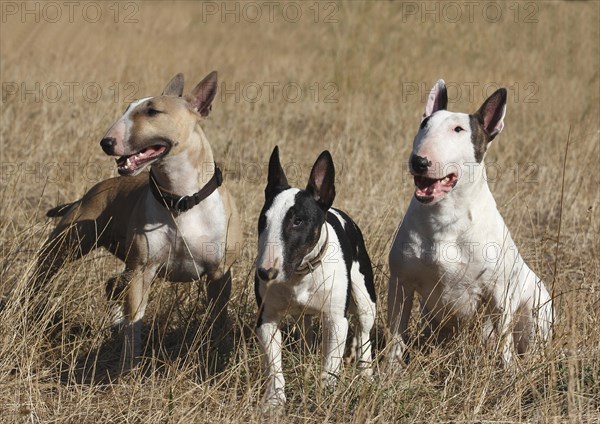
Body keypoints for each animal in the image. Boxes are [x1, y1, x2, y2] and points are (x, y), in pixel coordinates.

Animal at [34, 72, 241, 372]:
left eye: (152, 111)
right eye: (127, 108)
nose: (106, 143)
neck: (180, 200)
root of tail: (92, 191)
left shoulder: (219, 273)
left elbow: (219, 319)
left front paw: (217, 356)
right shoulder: (142, 271)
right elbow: (134, 323)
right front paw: (127, 369)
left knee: (111, 285)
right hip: (67, 245)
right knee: (43, 275)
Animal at [255, 147, 378, 406]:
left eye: (298, 221)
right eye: (263, 220)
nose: (265, 273)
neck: (301, 274)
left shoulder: (336, 320)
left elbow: (331, 365)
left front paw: (326, 397)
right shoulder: (267, 319)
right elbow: (274, 366)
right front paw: (274, 402)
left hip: (365, 298)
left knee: (364, 331)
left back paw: (366, 375)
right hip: (303, 316)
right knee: (306, 329)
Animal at [390, 80, 552, 368]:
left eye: (459, 129)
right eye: (424, 124)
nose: (419, 161)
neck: (445, 217)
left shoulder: (499, 295)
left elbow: (504, 344)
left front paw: (506, 372)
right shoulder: (400, 284)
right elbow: (397, 334)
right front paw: (390, 372)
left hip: (534, 314)